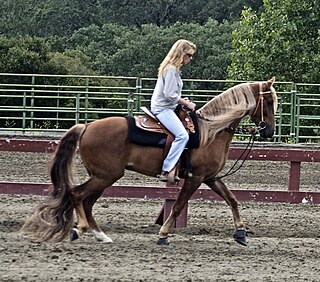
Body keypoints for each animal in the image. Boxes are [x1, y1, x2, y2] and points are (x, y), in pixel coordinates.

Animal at [21, 77, 278, 247]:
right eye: (268, 102)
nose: (269, 131)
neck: (210, 132)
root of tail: (86, 126)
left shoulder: (211, 178)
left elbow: (232, 199)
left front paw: (241, 233)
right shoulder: (195, 178)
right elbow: (177, 206)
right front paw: (163, 234)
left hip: (103, 177)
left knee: (87, 201)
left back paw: (99, 235)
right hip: (106, 176)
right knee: (77, 195)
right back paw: (81, 229)